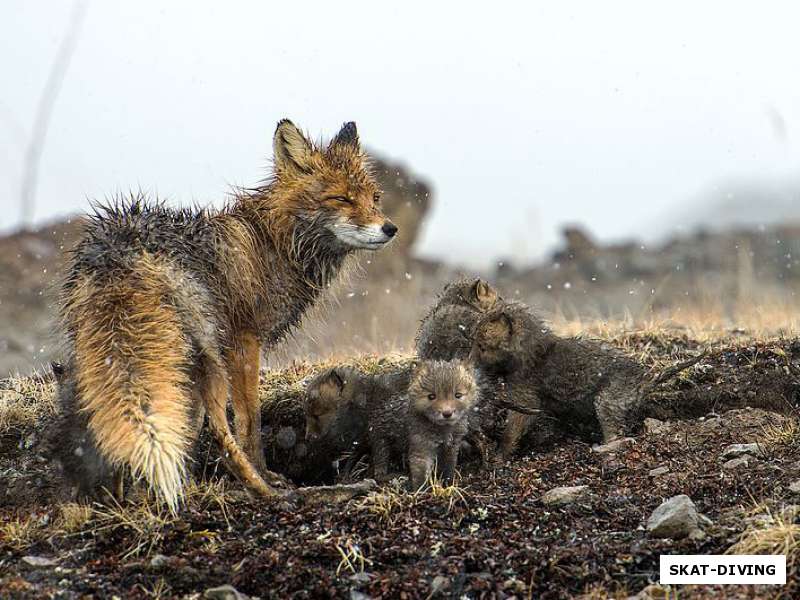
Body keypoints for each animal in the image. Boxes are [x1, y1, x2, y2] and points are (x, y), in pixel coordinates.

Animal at [54, 119, 398, 508]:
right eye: (341, 199)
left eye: (374, 198)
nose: (390, 228)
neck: (274, 245)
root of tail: (118, 255)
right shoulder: (244, 341)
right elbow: (249, 421)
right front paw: (266, 475)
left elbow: (190, 425)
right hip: (209, 357)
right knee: (219, 429)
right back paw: (271, 493)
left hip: (120, 355)